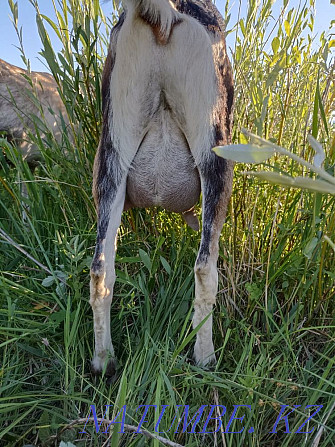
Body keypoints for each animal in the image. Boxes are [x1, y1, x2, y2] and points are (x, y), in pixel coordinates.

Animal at [90, 0, 235, 376]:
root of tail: (165, 18)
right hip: (215, 155)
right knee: (204, 268)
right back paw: (205, 357)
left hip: (111, 158)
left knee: (100, 271)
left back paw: (104, 360)